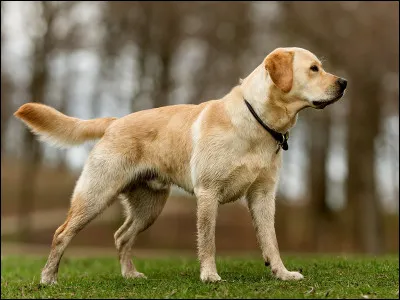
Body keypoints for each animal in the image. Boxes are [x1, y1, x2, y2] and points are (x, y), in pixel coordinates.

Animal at [14, 47, 346, 284]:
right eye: (314, 68)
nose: (344, 82)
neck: (257, 123)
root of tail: (114, 121)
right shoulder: (208, 192)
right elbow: (208, 241)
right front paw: (210, 275)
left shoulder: (263, 196)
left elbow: (271, 241)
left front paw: (282, 273)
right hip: (96, 194)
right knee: (62, 233)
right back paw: (48, 278)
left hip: (149, 207)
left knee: (121, 236)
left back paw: (129, 275)